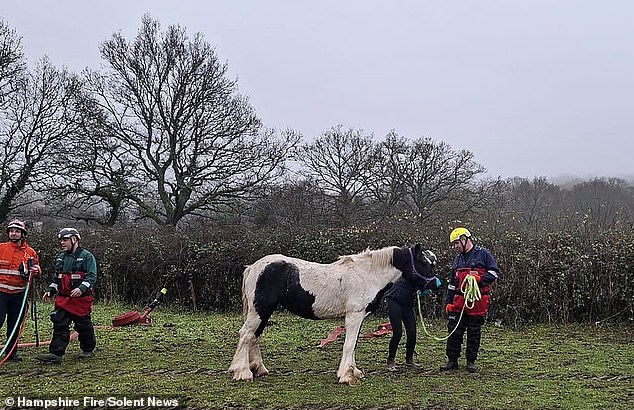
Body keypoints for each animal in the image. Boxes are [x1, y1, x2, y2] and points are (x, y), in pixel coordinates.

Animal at [230, 243, 436, 384]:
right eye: (424, 262)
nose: (435, 283)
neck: (367, 274)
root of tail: (253, 267)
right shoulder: (354, 315)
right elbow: (348, 345)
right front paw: (346, 375)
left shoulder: (358, 317)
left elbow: (353, 345)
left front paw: (354, 371)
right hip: (259, 311)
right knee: (246, 335)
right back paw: (243, 373)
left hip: (263, 312)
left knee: (254, 336)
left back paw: (259, 369)